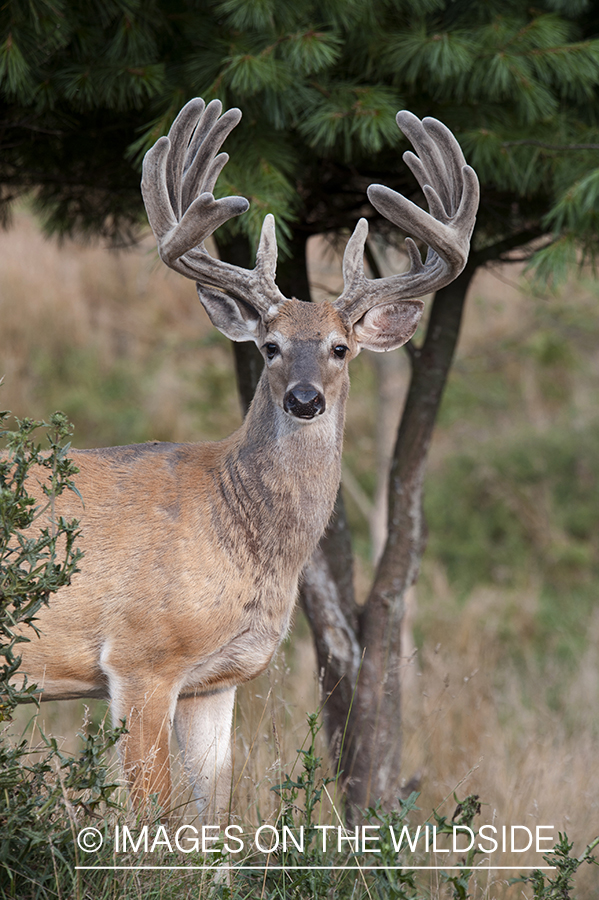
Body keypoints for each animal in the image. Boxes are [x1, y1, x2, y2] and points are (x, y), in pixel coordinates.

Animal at [16, 98, 480, 824]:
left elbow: (216, 820)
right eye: (268, 346)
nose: (304, 398)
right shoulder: (142, 656)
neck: (233, 522)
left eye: (340, 347)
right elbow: (152, 817)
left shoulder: (216, 681)